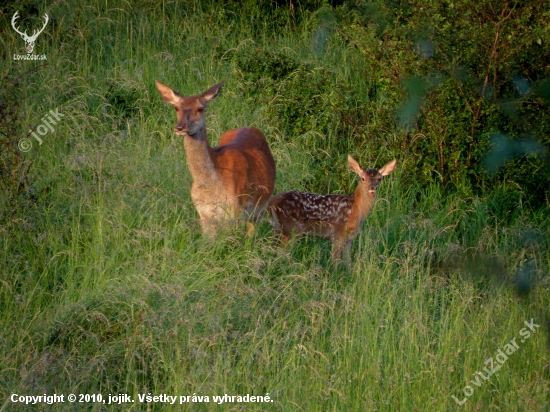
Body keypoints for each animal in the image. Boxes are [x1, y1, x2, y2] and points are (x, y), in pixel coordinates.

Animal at [155, 80, 276, 237]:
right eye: (176, 107)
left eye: (200, 108)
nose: (180, 127)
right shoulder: (204, 214)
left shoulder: (235, 212)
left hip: (261, 206)